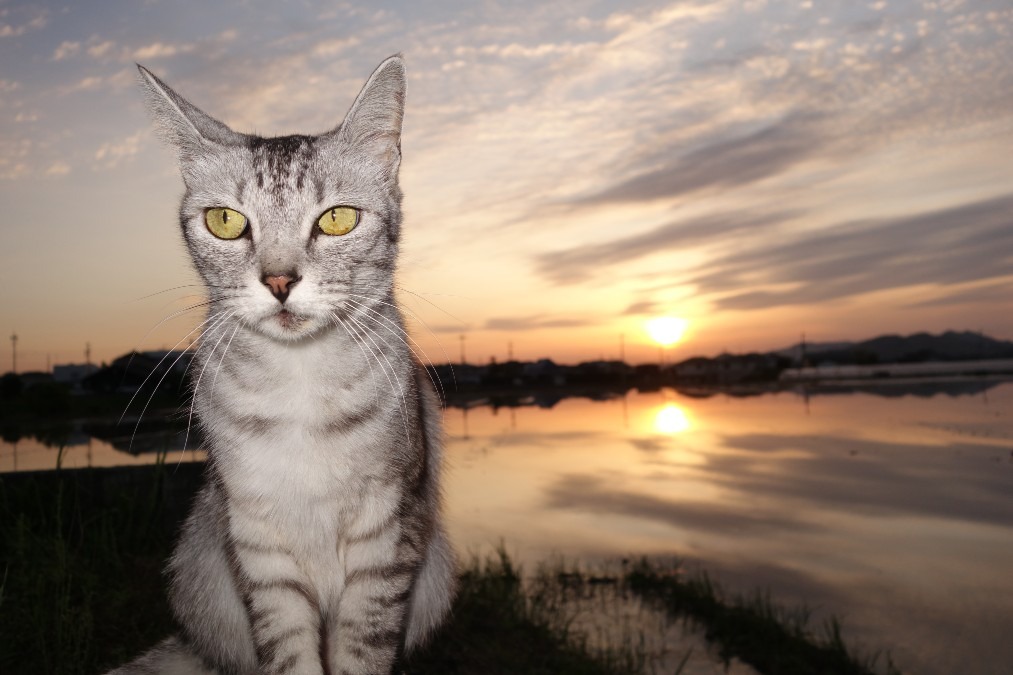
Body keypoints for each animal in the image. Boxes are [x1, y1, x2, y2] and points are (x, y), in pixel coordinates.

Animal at [104, 56, 453, 672]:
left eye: (337, 219)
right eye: (224, 220)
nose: (279, 281)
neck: (300, 385)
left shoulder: (388, 537)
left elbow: (362, 649)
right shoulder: (257, 543)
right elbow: (287, 648)